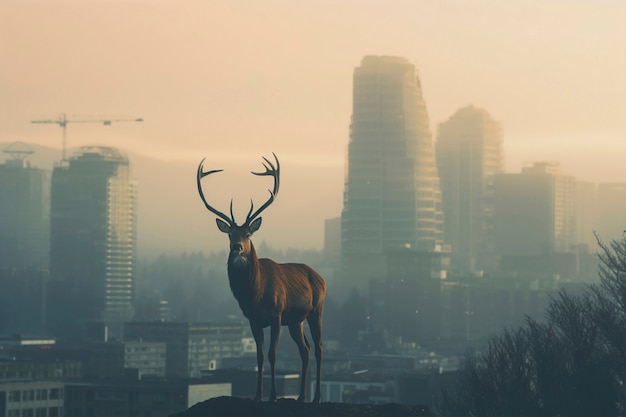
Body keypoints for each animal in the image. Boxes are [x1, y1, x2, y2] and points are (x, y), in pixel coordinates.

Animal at [195, 153, 324, 404]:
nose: (237, 247)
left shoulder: (276, 314)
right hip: (296, 320)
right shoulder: (253, 320)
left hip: (316, 310)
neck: (255, 294)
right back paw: (301, 396)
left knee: (319, 347)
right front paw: (257, 395)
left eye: (248, 234)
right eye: (229, 235)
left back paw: (316, 398)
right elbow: (259, 356)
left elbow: (273, 354)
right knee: (305, 350)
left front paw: (272, 395)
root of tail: (321, 277)